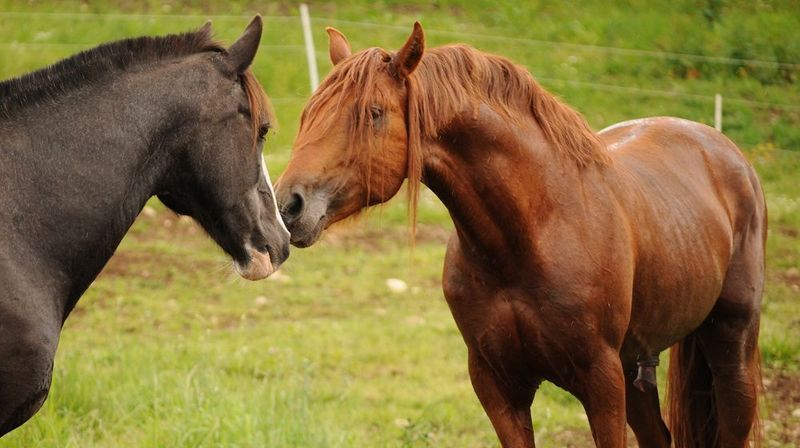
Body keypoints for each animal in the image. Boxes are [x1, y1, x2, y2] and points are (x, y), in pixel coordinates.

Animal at [275, 23, 766, 447]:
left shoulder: (601, 382)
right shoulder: (498, 386)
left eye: (373, 114)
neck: (532, 234)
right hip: (638, 365)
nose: (287, 206)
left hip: (731, 348)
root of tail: (723, 149)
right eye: (309, 114)